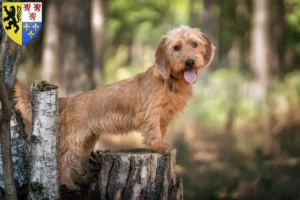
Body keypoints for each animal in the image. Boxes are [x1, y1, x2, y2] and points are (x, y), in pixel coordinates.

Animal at [14, 25, 214, 189]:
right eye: (176, 47)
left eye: (194, 44)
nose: (189, 62)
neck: (171, 80)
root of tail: (69, 99)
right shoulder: (151, 113)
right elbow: (154, 131)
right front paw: (158, 146)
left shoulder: (163, 117)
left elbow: (160, 130)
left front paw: (159, 145)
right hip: (75, 138)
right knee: (64, 159)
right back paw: (67, 185)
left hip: (88, 140)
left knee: (74, 161)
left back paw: (78, 180)